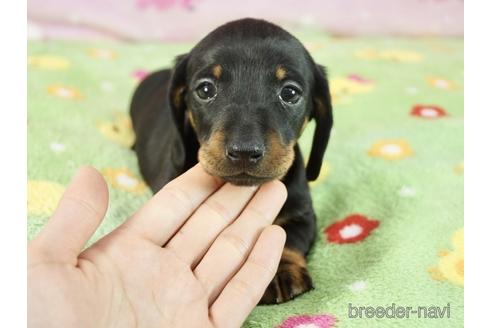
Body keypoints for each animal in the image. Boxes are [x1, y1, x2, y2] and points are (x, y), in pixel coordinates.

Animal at [129, 18, 332, 304]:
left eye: (290, 93)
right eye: (205, 89)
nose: (244, 151)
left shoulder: (303, 215)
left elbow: (285, 237)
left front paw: (280, 270)